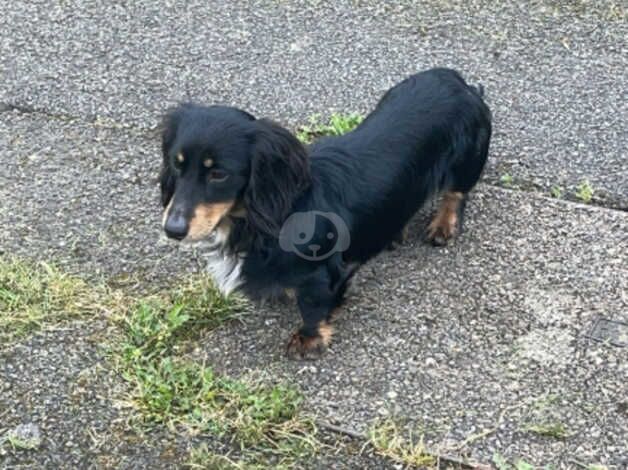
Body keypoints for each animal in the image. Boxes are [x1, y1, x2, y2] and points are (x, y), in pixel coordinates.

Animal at [161, 68, 490, 358]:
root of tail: (460, 82)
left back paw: (443, 225)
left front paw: (308, 339)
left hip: (465, 164)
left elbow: (312, 305)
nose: (172, 230)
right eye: (177, 163)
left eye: (218, 174)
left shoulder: (322, 273)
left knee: (456, 194)